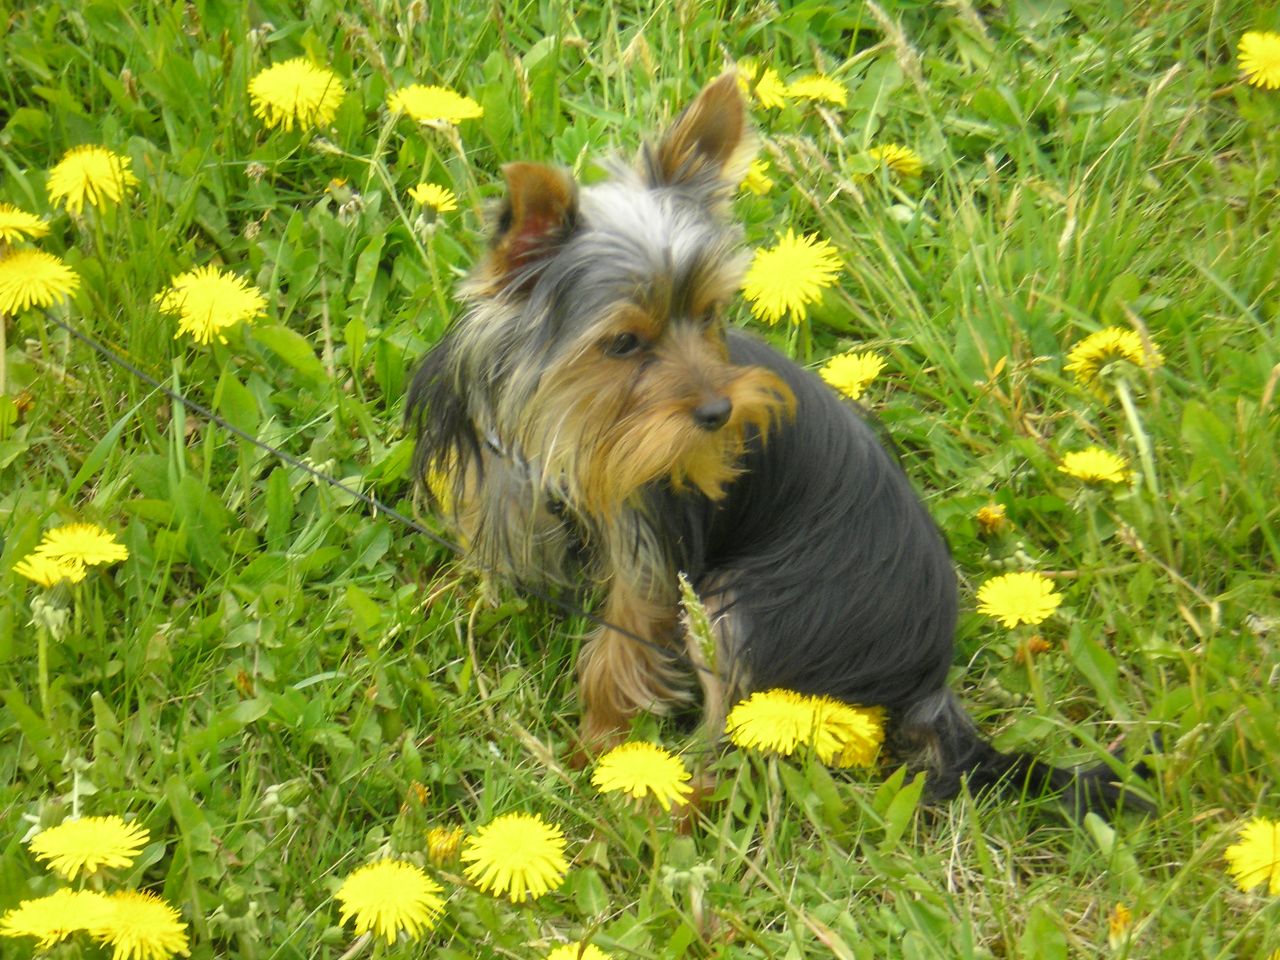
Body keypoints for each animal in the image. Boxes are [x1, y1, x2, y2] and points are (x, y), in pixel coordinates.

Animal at [406, 74, 1148, 814]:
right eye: (621, 343)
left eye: (709, 313)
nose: (719, 411)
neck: (561, 424)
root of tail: (928, 685)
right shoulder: (500, 487)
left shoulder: (651, 544)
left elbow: (621, 653)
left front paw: (598, 749)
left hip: (745, 611)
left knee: (738, 737)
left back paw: (684, 803)